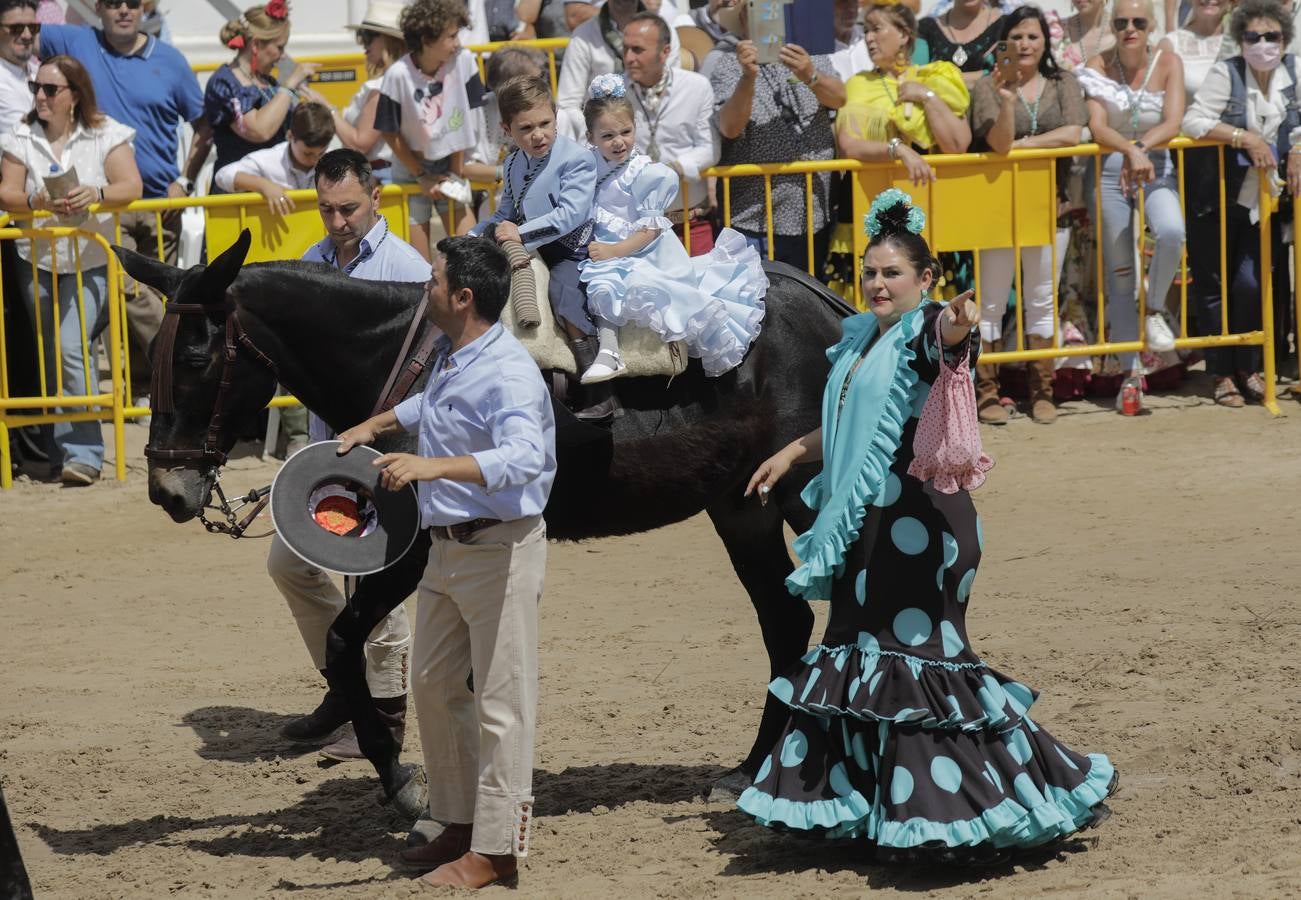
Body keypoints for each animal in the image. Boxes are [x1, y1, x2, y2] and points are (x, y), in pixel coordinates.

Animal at [119, 228, 853, 806]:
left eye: (195, 358)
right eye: (150, 357)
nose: (166, 488)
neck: (404, 362)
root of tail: (827, 305)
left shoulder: (413, 551)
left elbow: (345, 642)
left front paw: (400, 778)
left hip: (802, 493)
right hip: (742, 506)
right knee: (785, 624)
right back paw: (749, 771)